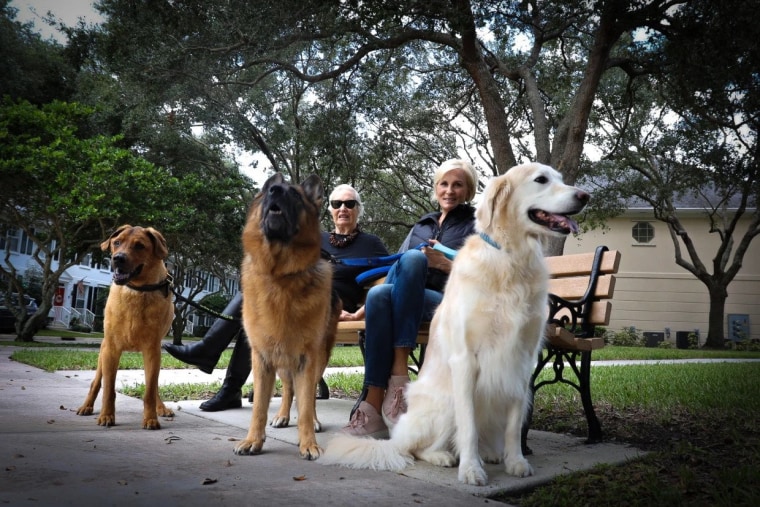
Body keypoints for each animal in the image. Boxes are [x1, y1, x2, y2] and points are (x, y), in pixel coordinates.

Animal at [78, 226, 177, 428]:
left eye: (139, 246)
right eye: (117, 242)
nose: (118, 258)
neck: (138, 290)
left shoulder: (152, 350)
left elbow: (150, 390)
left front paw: (151, 418)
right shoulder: (111, 349)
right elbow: (109, 389)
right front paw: (107, 416)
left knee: (153, 386)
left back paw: (161, 408)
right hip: (103, 352)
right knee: (96, 382)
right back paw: (87, 406)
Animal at [232, 174, 338, 460]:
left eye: (296, 195)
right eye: (270, 190)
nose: (276, 190)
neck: (280, 275)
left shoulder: (307, 359)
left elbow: (306, 403)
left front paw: (308, 443)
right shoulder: (262, 358)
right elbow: (259, 407)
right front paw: (253, 440)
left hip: (318, 359)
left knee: (308, 397)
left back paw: (313, 421)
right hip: (281, 362)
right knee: (290, 389)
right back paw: (282, 416)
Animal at [318, 164, 592, 488]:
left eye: (560, 178)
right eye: (541, 180)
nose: (585, 196)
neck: (511, 257)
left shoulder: (522, 360)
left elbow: (514, 425)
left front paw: (516, 461)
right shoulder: (465, 360)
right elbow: (468, 426)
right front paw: (470, 469)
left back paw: (492, 453)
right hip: (443, 402)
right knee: (416, 448)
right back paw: (444, 456)